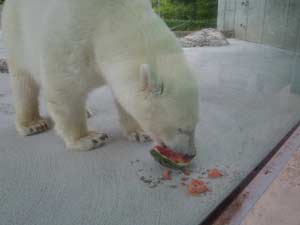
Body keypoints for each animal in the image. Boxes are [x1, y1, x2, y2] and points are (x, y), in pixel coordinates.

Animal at [2, 0, 199, 157]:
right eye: (182, 128)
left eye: (195, 125)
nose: (190, 154)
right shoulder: (69, 38)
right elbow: (65, 89)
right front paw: (88, 138)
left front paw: (138, 132)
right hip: (17, 32)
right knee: (23, 82)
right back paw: (32, 124)